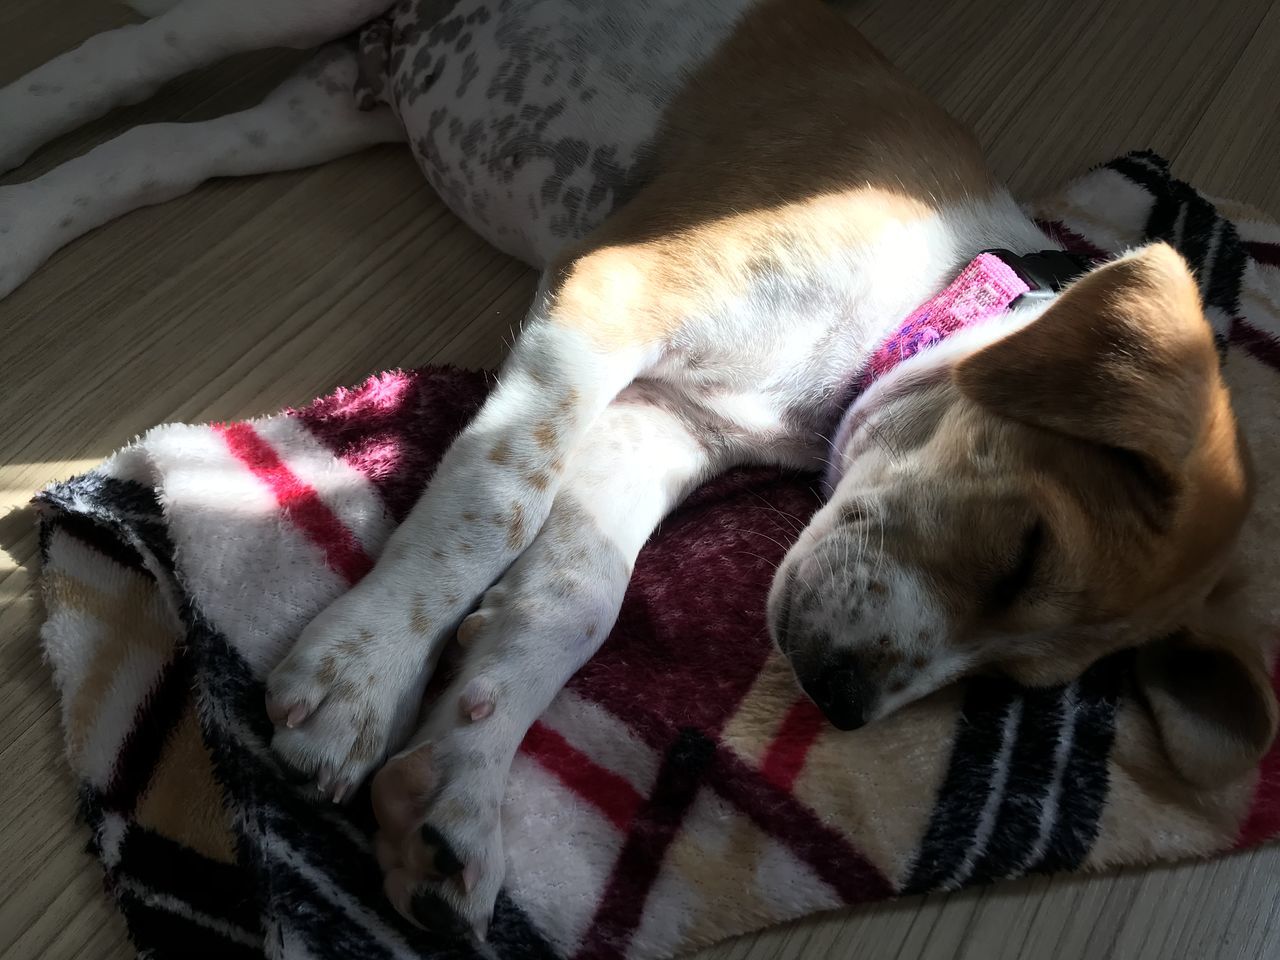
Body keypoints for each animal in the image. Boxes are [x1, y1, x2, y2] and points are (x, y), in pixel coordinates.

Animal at [5, 0, 1274, 947]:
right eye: (1023, 550)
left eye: (1015, 682)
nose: (838, 700)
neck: (921, 293)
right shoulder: (610, 294)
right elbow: (495, 501)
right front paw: (361, 676)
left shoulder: (652, 426)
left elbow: (569, 601)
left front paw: (457, 790)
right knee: (117, 60)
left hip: (324, 109)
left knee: (157, 152)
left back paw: (26, 218)